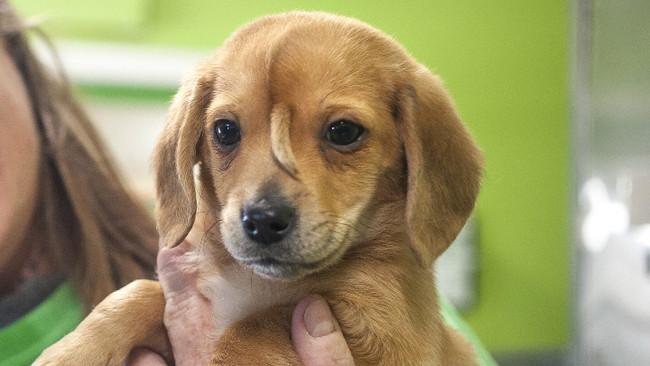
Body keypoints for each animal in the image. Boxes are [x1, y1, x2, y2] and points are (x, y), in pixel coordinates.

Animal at [35, 11, 480, 366]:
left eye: (343, 131)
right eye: (225, 130)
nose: (263, 221)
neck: (257, 282)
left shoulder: (385, 329)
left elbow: (259, 325)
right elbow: (139, 292)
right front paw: (72, 352)